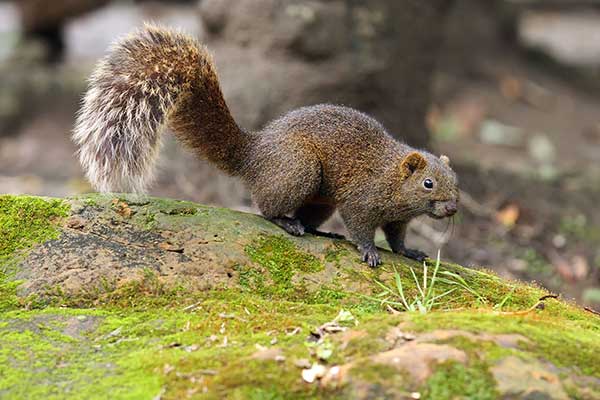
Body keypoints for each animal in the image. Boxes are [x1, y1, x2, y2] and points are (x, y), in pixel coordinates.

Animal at [74, 26, 460, 268]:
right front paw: (369, 252)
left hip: (319, 197)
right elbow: (361, 226)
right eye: (428, 183)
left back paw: (316, 228)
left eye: (456, 181)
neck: (391, 177)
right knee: (266, 207)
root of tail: (253, 154)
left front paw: (410, 251)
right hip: (299, 169)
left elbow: (396, 237)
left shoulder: (398, 219)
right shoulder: (361, 199)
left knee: (304, 214)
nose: (453, 208)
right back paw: (288, 224)